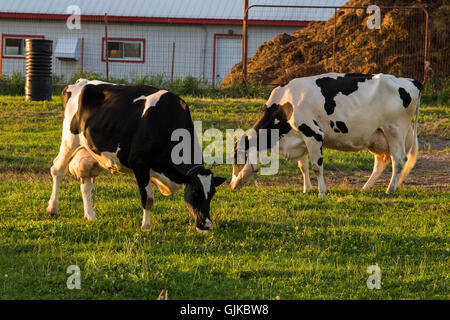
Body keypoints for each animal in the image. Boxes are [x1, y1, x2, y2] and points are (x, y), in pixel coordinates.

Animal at [46, 78, 225, 232]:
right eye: (195, 192)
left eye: (212, 194)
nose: (207, 225)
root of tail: (80, 82)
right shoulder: (140, 164)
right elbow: (148, 198)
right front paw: (146, 227)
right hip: (69, 140)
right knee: (57, 170)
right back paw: (52, 208)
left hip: (91, 153)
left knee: (86, 184)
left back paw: (90, 216)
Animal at [230, 73, 424, 194]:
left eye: (237, 158)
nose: (231, 185)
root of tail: (412, 81)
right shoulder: (300, 138)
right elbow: (303, 166)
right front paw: (306, 189)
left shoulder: (313, 134)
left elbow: (317, 166)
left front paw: (321, 192)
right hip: (376, 136)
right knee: (381, 162)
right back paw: (366, 188)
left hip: (394, 130)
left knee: (399, 160)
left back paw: (390, 189)